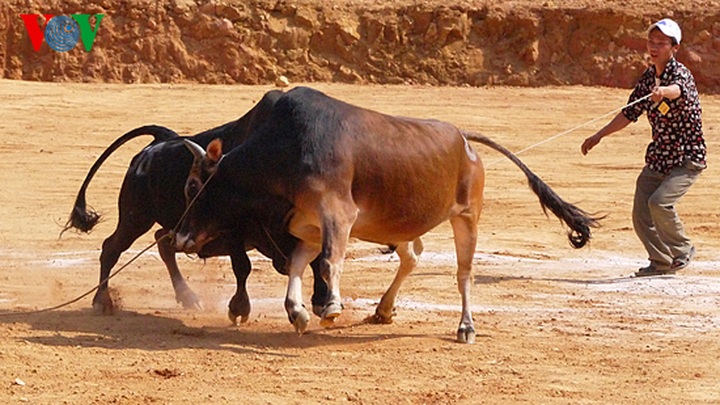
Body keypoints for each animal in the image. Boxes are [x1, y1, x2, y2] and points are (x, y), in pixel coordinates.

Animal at [62, 90, 329, 324]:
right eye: (191, 187)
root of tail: (159, 142)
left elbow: (317, 261)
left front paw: (321, 301)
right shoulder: (233, 231)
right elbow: (242, 266)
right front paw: (239, 307)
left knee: (162, 241)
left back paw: (188, 297)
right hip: (135, 217)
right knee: (112, 248)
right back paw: (101, 301)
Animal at [175, 86, 601, 343]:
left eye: (194, 186)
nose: (179, 237)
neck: (281, 152)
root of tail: (463, 137)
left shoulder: (337, 215)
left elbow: (328, 262)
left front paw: (330, 308)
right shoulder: (308, 225)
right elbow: (300, 264)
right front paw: (297, 312)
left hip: (467, 217)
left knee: (464, 274)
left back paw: (466, 326)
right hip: (402, 225)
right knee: (412, 257)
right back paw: (383, 309)